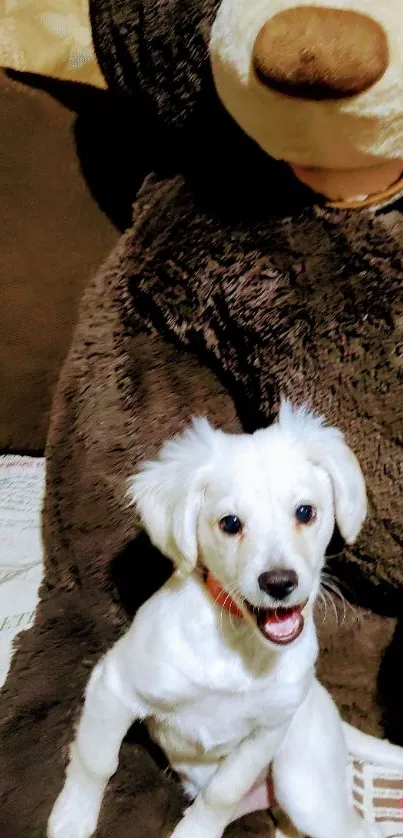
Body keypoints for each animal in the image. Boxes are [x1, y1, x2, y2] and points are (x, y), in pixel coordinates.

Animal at [48, 402, 400, 838]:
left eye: (305, 512)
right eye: (230, 523)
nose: (279, 583)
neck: (240, 648)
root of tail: (328, 707)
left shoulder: (267, 733)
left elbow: (221, 793)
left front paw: (195, 832)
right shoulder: (113, 685)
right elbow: (96, 760)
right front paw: (73, 816)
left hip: (303, 787)